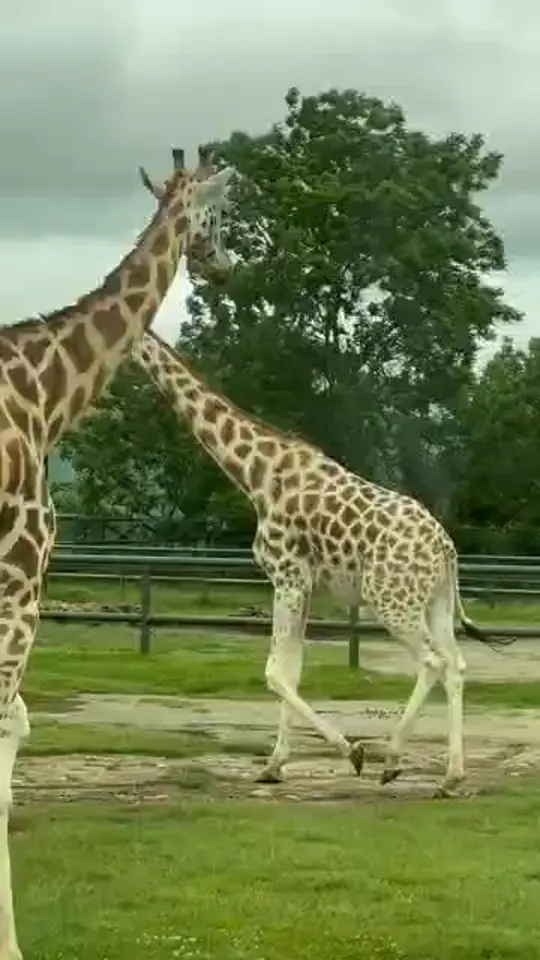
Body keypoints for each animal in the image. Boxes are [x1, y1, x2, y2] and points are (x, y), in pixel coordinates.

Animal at [133, 330, 513, 799]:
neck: (257, 477)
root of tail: (447, 549)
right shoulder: (305, 585)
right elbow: (291, 672)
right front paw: (273, 766)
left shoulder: (287, 575)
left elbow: (275, 672)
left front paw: (352, 752)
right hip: (435, 602)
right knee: (456, 665)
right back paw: (450, 777)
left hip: (391, 601)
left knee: (433, 663)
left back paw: (392, 760)